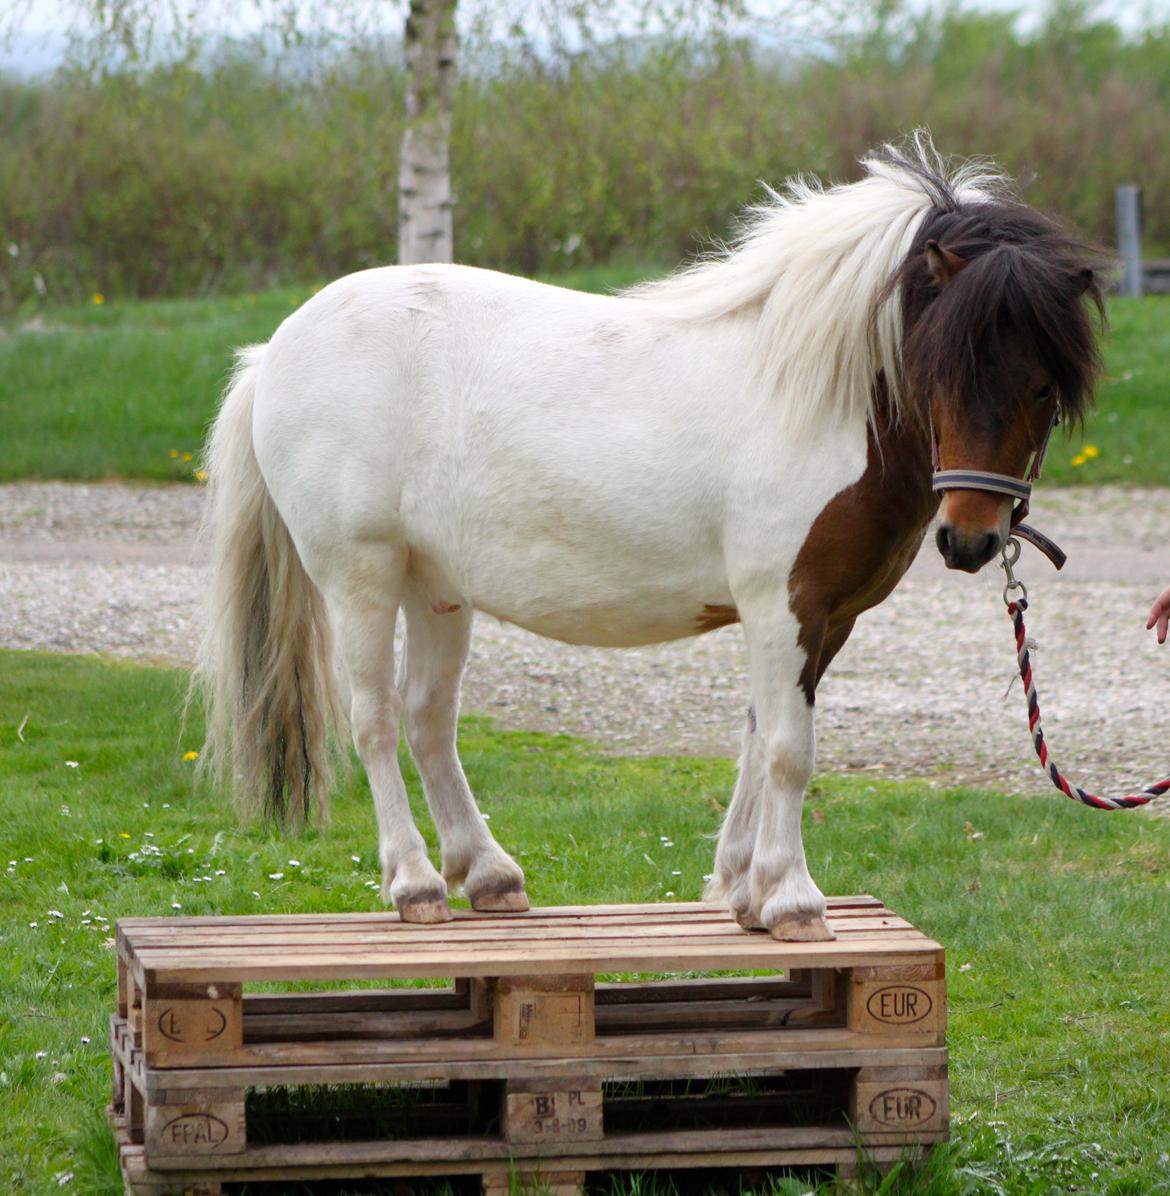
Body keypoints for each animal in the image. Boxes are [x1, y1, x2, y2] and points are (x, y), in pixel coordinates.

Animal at [196, 137, 1100, 942]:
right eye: (941, 366)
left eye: (1046, 387)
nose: (971, 541)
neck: (817, 395)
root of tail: (277, 349)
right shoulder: (785, 605)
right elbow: (788, 751)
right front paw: (793, 899)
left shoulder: (821, 618)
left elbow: (757, 739)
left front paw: (742, 891)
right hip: (361, 575)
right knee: (377, 721)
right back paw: (416, 883)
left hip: (437, 586)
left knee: (428, 718)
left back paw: (488, 875)